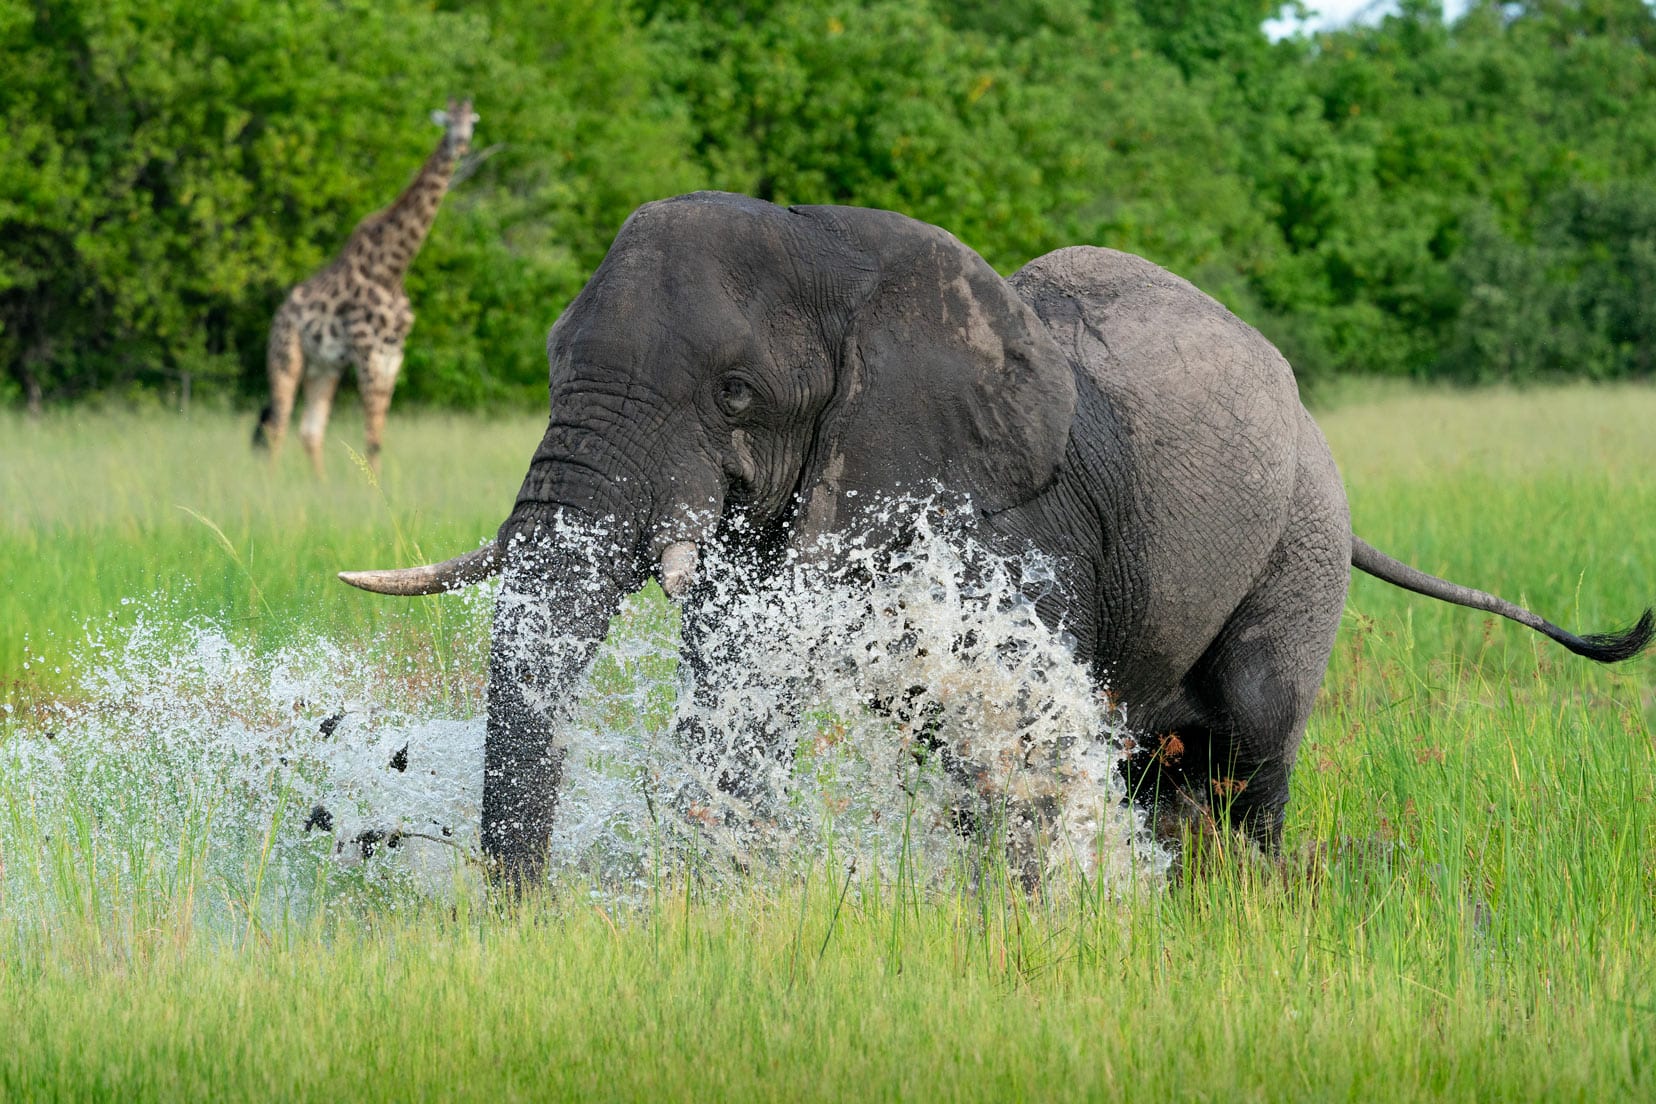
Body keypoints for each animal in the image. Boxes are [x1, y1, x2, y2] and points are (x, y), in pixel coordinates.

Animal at [250, 98, 480, 470]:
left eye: (470, 123)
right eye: (447, 122)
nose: (460, 144)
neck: (392, 270)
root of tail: (278, 316)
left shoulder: (392, 353)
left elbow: (376, 438)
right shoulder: (367, 349)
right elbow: (372, 438)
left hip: (323, 367)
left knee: (309, 431)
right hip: (286, 356)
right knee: (277, 426)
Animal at [332, 187, 1642, 880]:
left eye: (736, 394)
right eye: (554, 364)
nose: (523, 915)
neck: (830, 248)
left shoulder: (1017, 516)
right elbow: (740, 694)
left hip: (1299, 542)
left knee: (1255, 734)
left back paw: (1244, 897)